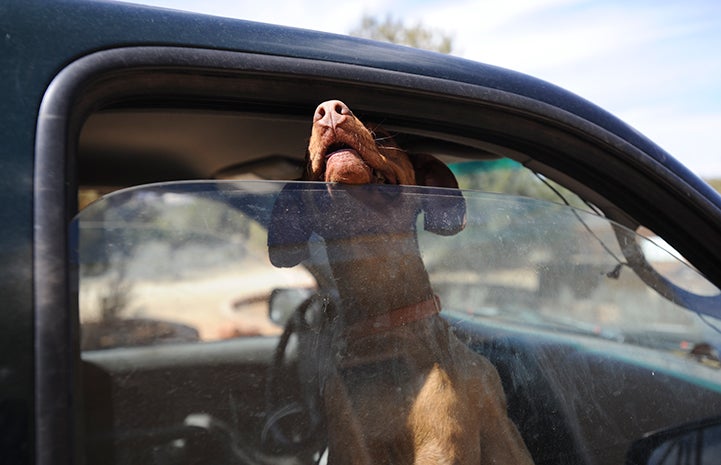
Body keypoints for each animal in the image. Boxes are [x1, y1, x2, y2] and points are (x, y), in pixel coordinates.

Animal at [268, 99, 532, 462]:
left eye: (383, 135)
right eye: (306, 163)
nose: (328, 110)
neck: (389, 320)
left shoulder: (493, 432)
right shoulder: (381, 443)